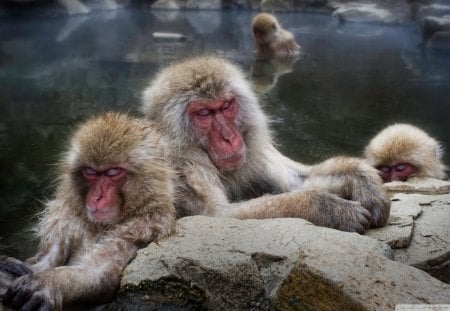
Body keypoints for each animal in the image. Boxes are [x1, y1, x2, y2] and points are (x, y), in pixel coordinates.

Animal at [0, 113, 176, 310]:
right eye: (90, 172)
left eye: (113, 172)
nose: (97, 197)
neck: (98, 226)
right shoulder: (65, 218)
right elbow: (42, 261)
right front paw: (8, 264)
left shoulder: (144, 226)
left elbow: (99, 272)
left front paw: (50, 283)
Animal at [142, 54, 390, 233]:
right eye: (204, 113)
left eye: (226, 106)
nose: (228, 137)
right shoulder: (180, 163)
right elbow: (218, 216)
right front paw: (328, 208)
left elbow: (297, 180)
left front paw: (364, 181)